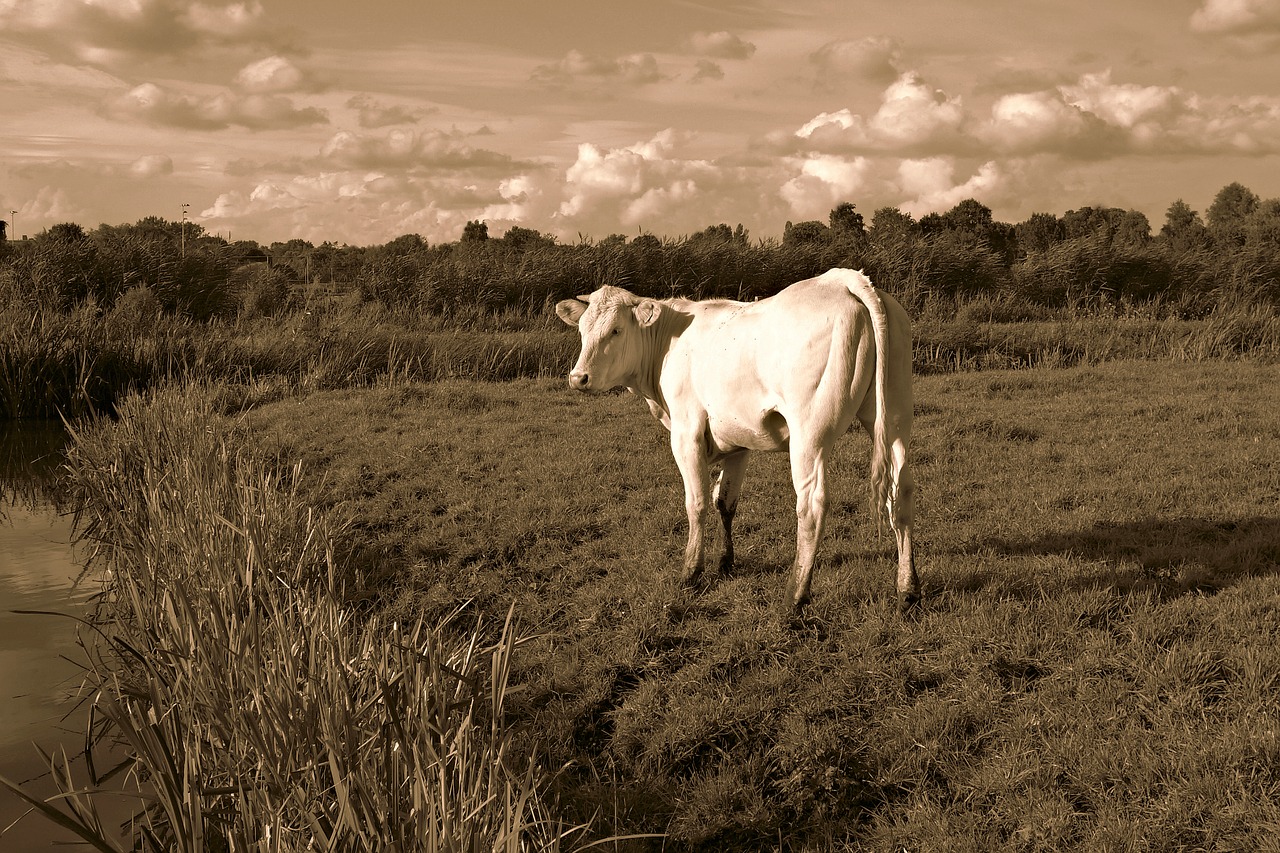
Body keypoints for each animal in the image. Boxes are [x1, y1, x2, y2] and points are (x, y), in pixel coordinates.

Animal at [555, 266, 916, 612]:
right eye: (583, 330)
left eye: (616, 330)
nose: (578, 378)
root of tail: (841, 280)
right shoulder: (738, 440)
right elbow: (725, 502)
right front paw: (725, 562)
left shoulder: (686, 433)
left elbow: (697, 502)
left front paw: (691, 571)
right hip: (894, 416)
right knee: (901, 493)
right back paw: (908, 590)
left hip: (809, 430)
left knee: (812, 507)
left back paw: (795, 597)